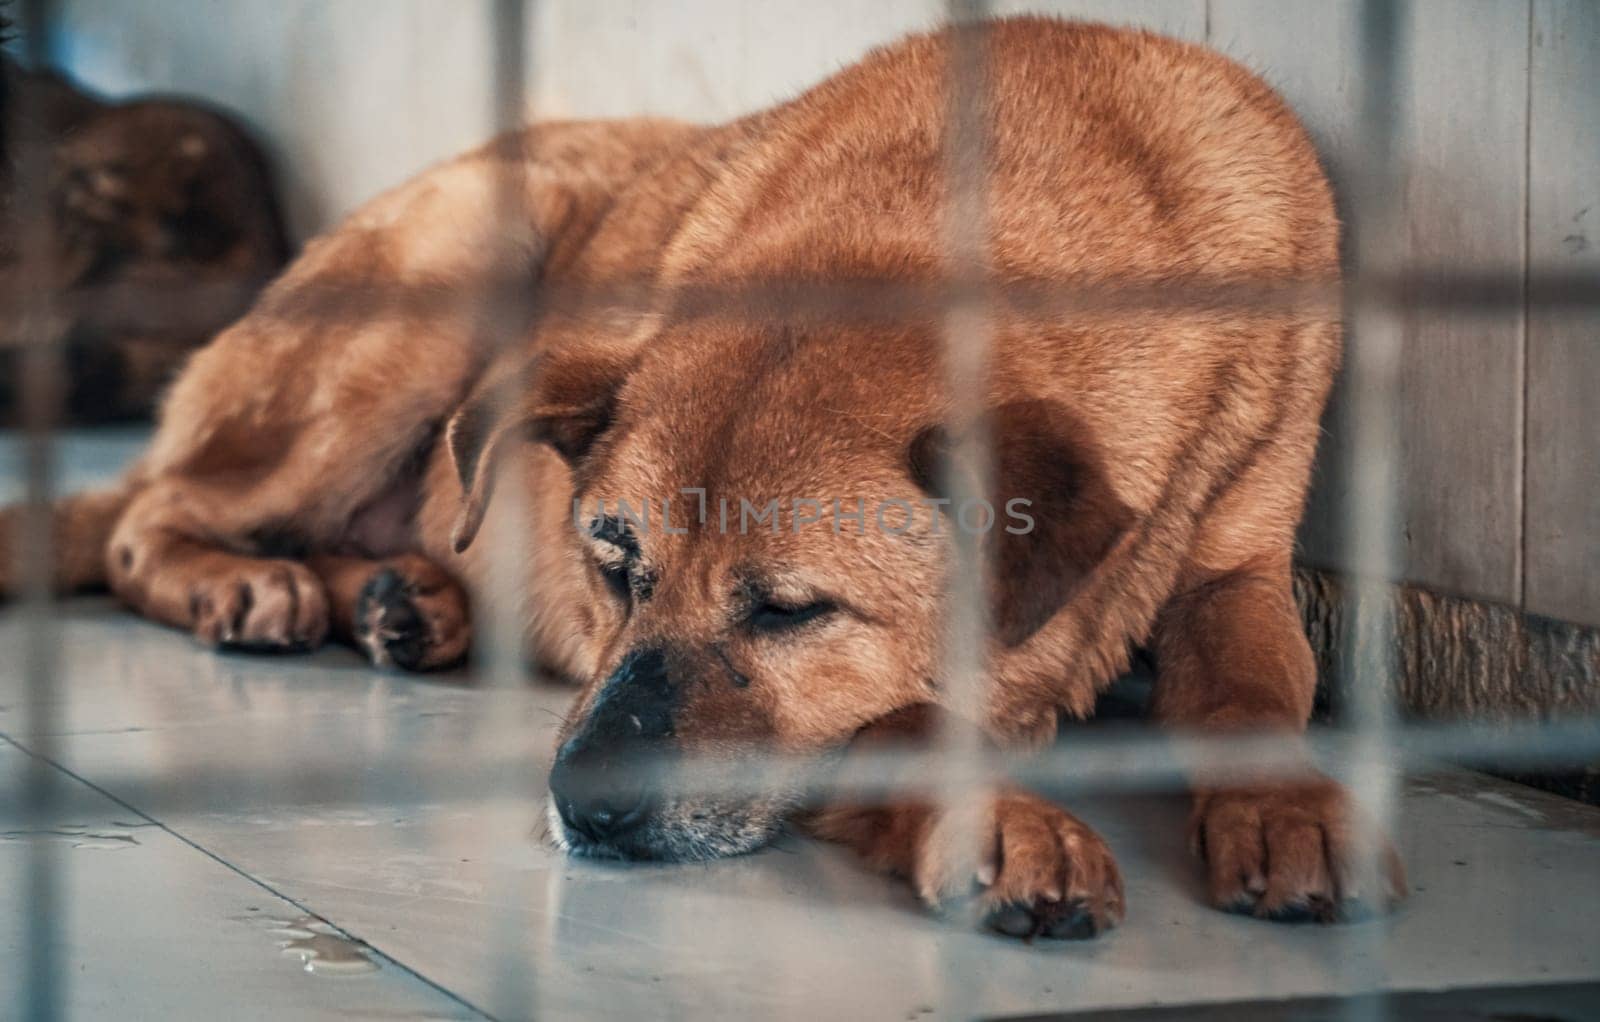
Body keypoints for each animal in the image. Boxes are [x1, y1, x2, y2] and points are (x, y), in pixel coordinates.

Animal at [0, 19, 1401, 940]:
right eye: (611, 563)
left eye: (789, 609)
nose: (579, 810)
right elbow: (895, 725)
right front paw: (1004, 820)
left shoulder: (1236, 571)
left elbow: (1254, 691)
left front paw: (1288, 806)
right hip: (440, 278)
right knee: (142, 521)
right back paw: (254, 586)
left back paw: (409, 600)